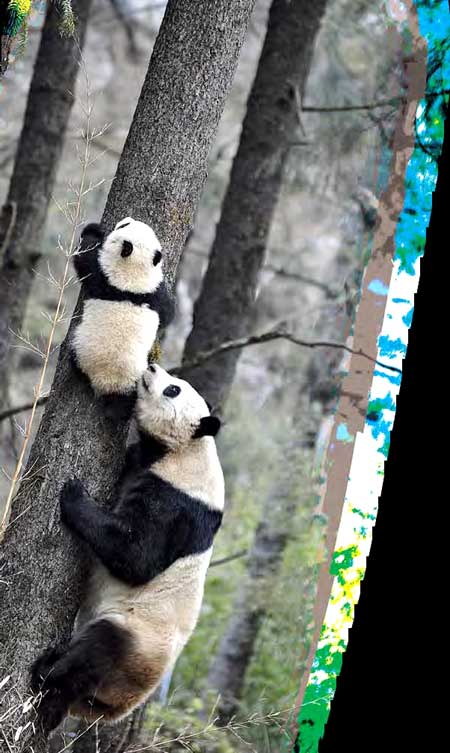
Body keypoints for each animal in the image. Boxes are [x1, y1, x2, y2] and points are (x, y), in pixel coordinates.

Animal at [31, 364, 224, 732]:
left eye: (174, 390)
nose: (152, 366)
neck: (184, 451)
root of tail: (117, 706)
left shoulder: (177, 503)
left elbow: (137, 557)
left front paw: (74, 494)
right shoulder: (142, 462)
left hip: (136, 639)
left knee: (96, 653)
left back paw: (47, 672)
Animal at [71, 217, 174, 412]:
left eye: (124, 226)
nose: (126, 219)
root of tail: (107, 383)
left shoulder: (104, 276)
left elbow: (84, 258)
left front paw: (93, 230)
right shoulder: (154, 295)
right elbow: (168, 313)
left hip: (82, 350)